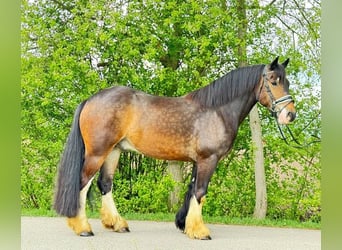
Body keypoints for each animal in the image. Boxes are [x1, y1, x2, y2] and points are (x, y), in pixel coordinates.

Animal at [54, 57, 296, 240]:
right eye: (273, 81)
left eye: (287, 82)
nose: (290, 115)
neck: (216, 111)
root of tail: (90, 99)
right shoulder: (208, 159)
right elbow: (200, 191)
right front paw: (200, 231)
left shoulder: (199, 161)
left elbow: (192, 190)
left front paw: (185, 224)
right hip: (97, 153)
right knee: (82, 183)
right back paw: (83, 227)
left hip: (113, 151)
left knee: (105, 184)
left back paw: (117, 223)